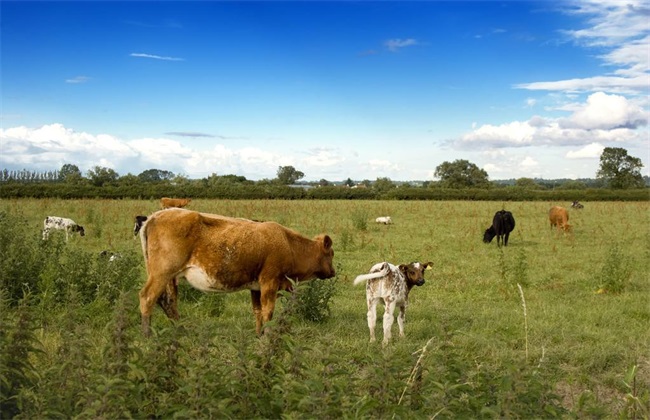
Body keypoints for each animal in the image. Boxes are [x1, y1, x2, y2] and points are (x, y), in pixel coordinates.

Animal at [136, 208, 334, 336]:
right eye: (331, 253)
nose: (333, 272)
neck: (288, 243)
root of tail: (154, 216)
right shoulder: (269, 282)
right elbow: (268, 312)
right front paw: (267, 336)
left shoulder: (256, 287)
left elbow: (257, 311)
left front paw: (259, 334)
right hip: (161, 274)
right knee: (148, 297)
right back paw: (147, 335)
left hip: (171, 278)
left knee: (169, 302)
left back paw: (180, 331)